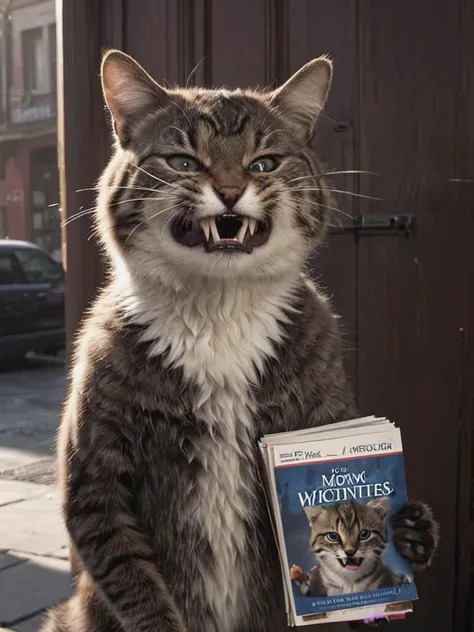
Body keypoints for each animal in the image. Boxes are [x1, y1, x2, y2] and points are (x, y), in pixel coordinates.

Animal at [42, 49, 438, 632]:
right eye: (184, 161)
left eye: (265, 163)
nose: (230, 191)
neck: (218, 313)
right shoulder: (97, 476)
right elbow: (132, 578)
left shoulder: (325, 405)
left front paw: (412, 532)